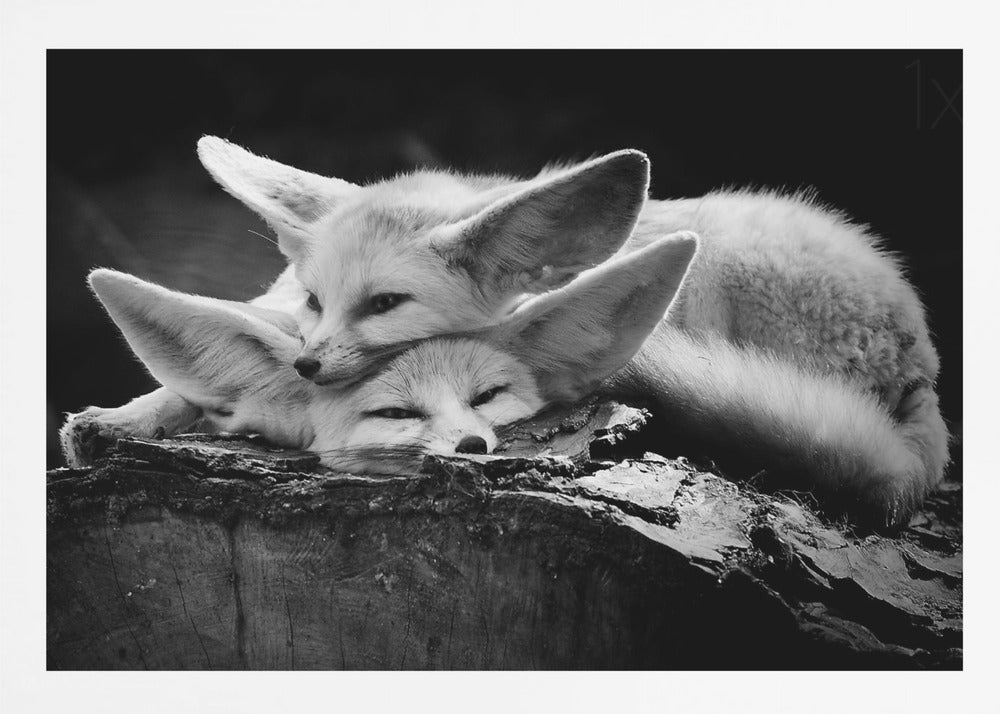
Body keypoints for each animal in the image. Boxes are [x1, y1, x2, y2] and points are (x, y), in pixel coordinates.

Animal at [61, 138, 949, 528]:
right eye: (318, 299)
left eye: (386, 303)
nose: (309, 366)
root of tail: (925, 358)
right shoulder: (283, 313)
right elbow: (193, 369)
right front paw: (124, 418)